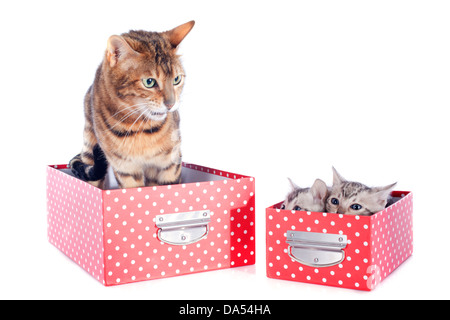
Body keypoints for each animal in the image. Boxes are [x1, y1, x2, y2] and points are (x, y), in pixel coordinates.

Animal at [67, 21, 194, 189]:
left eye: (176, 80)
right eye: (149, 82)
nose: (171, 104)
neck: (141, 128)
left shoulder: (170, 163)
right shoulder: (125, 169)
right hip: (89, 144)